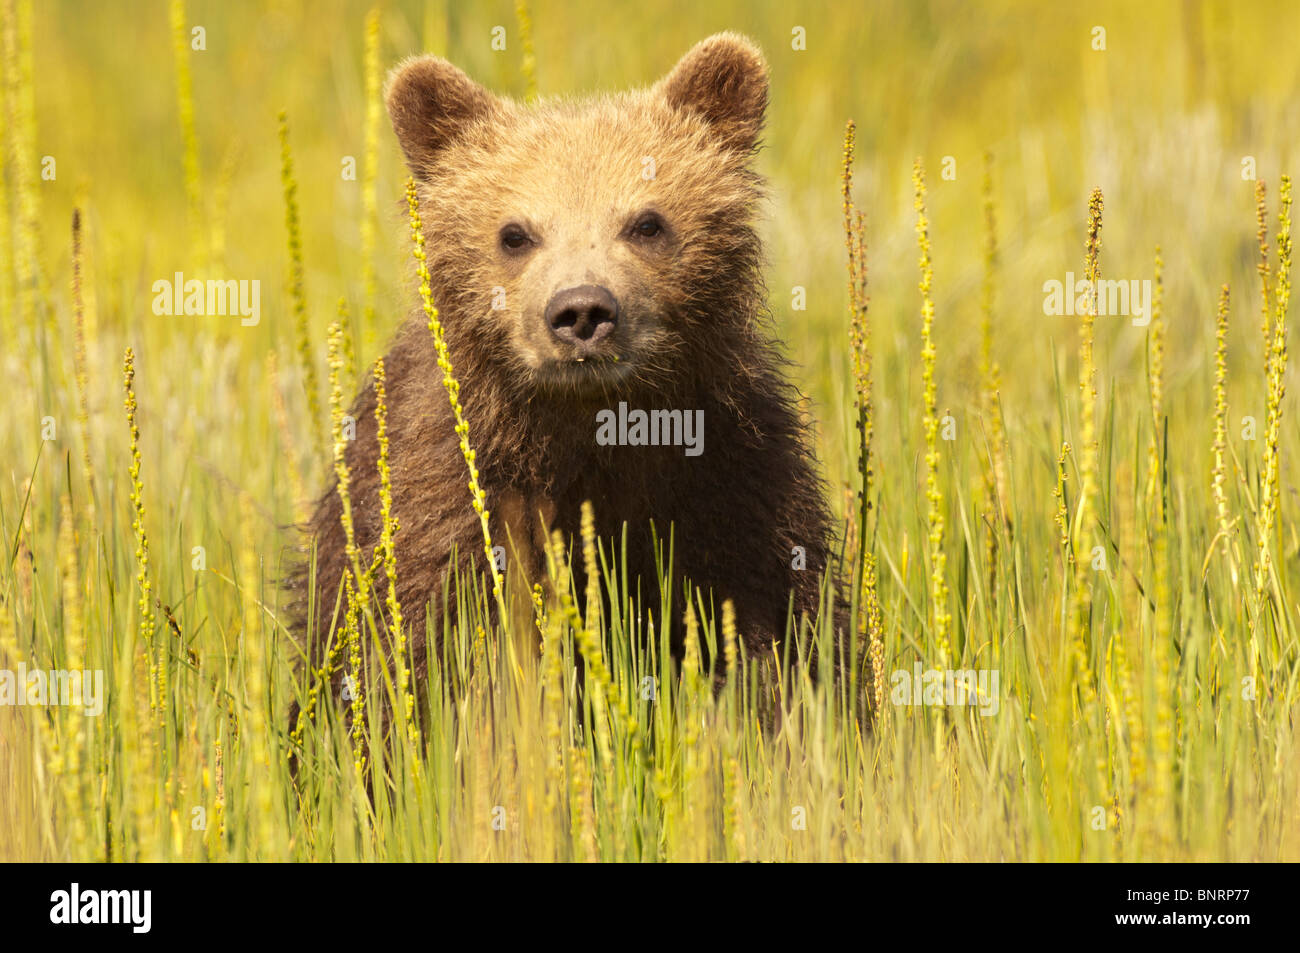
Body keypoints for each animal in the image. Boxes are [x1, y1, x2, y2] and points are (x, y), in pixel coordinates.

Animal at [290, 33, 847, 730]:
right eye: (515, 233)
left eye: (646, 222)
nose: (582, 311)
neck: (588, 436)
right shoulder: (444, 494)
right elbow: (417, 654)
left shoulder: (730, 479)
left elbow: (769, 638)